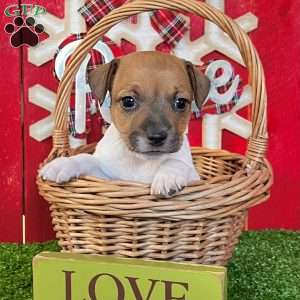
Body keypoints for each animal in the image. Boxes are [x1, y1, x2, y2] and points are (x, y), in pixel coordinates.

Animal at [39, 51, 210, 197]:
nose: (157, 137)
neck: (141, 161)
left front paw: (168, 177)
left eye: (181, 103)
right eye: (128, 101)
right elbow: (86, 158)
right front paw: (63, 164)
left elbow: (177, 162)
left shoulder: (194, 177)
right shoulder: (108, 177)